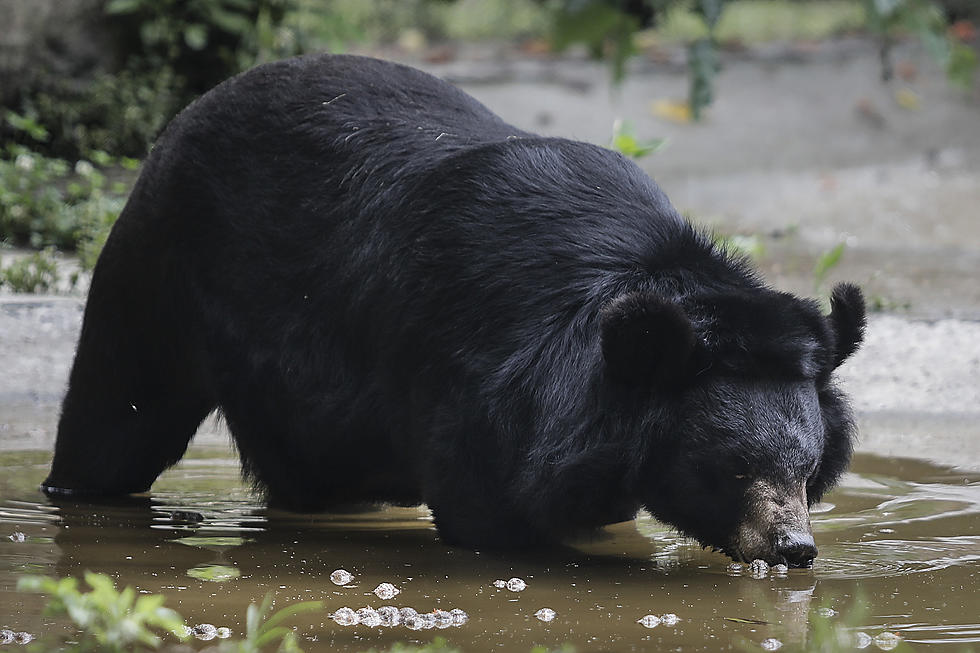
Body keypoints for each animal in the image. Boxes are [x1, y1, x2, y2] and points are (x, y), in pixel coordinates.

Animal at [42, 54, 860, 564]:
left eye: (807, 466)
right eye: (733, 468)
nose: (792, 547)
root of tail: (184, 118)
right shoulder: (480, 386)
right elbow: (484, 505)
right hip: (160, 273)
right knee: (117, 412)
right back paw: (75, 489)